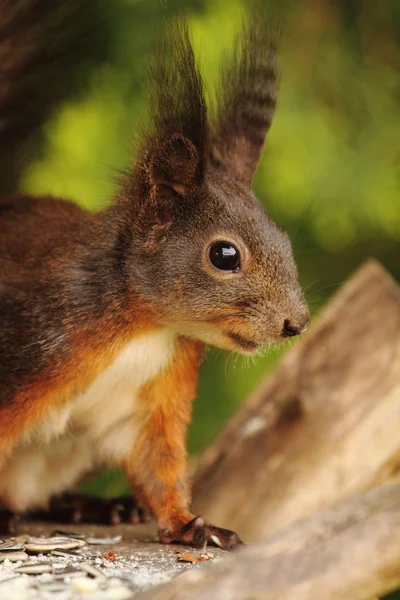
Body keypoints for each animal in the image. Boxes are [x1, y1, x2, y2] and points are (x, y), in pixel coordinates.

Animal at [0, 4, 310, 552]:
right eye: (224, 255)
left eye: (285, 239)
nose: (297, 323)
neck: (146, 325)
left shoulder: (153, 399)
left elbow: (156, 463)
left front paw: (192, 525)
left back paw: (93, 507)